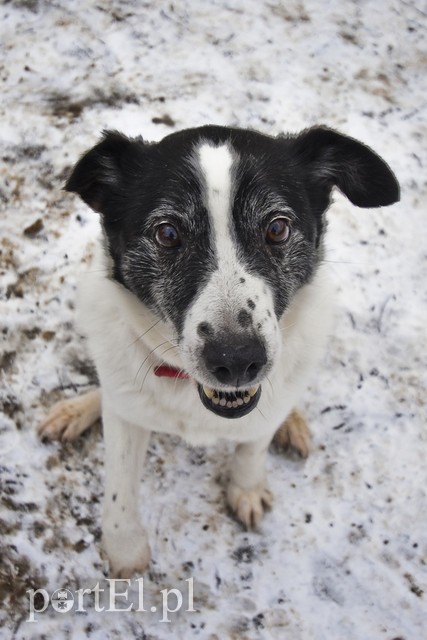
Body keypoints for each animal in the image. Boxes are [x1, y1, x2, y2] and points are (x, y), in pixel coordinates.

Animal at [37, 122, 402, 576]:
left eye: (277, 228)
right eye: (167, 233)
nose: (238, 360)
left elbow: (253, 444)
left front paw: (246, 488)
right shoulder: (124, 416)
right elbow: (120, 483)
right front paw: (125, 548)